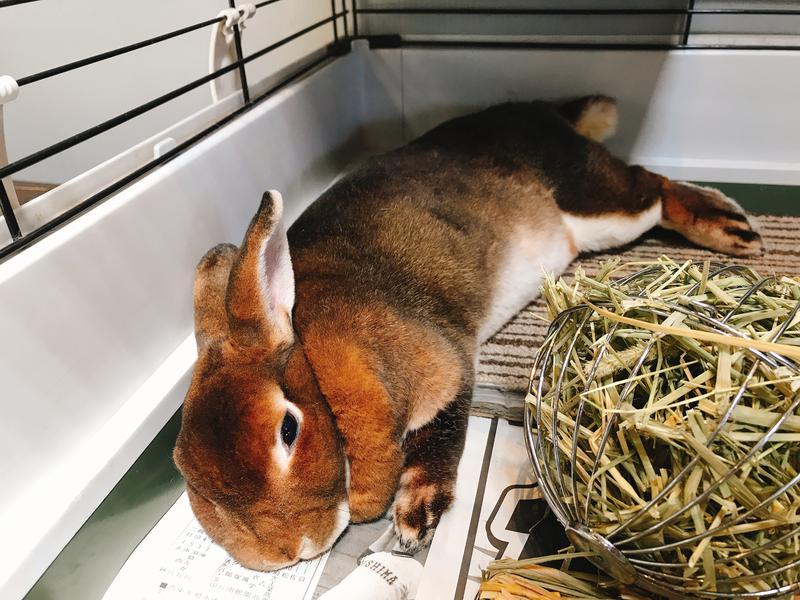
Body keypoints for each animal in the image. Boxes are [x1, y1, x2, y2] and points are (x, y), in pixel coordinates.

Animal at [173, 95, 764, 572]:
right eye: (185, 472)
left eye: (288, 429)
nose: (286, 553)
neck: (318, 372)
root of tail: (544, 112)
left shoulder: (444, 368)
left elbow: (441, 437)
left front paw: (415, 520)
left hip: (603, 209)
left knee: (651, 186)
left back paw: (732, 228)